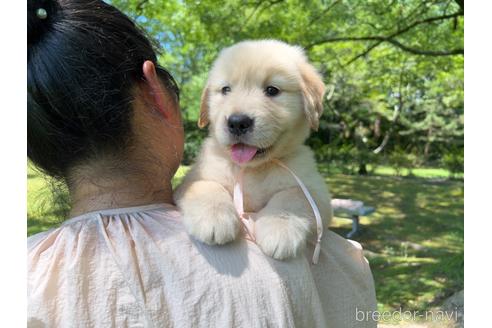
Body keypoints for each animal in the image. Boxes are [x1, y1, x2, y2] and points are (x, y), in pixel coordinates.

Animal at [175, 39, 332, 260]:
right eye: (226, 90)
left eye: (272, 90)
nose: (237, 122)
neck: (252, 169)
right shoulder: (194, 177)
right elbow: (205, 186)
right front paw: (214, 217)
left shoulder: (318, 193)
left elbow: (294, 196)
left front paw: (279, 227)